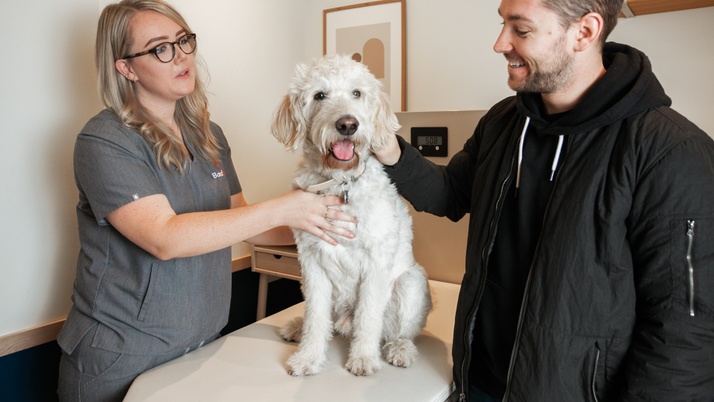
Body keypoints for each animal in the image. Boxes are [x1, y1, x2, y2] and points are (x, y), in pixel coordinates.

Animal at [270, 55, 432, 376]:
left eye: (357, 93)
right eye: (320, 95)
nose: (347, 124)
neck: (340, 182)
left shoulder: (376, 262)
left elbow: (368, 316)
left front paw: (363, 358)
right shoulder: (312, 262)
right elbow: (316, 317)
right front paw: (308, 357)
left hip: (411, 283)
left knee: (397, 331)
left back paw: (399, 348)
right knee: (325, 320)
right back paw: (297, 327)